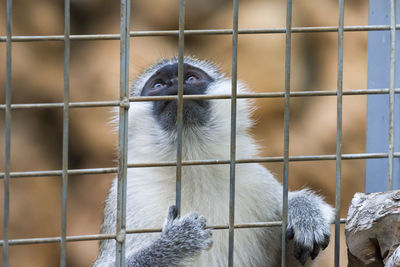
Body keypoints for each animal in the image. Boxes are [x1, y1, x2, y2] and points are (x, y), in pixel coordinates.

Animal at [94, 56, 334, 266]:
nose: (174, 83)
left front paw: (303, 209)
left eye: (191, 78)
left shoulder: (257, 181)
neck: (192, 165)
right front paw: (177, 242)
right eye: (159, 84)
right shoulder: (128, 195)